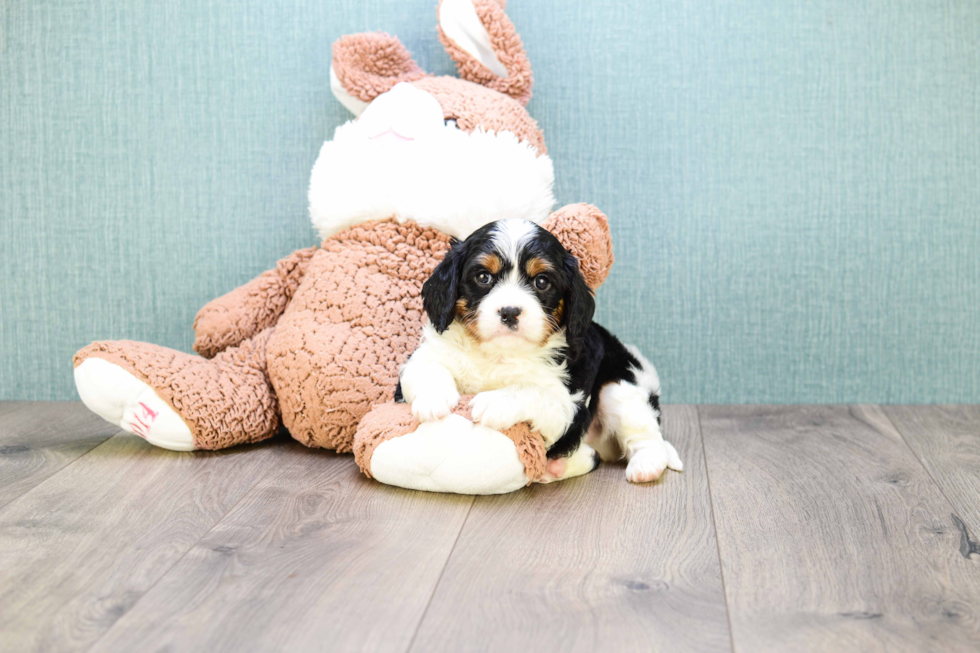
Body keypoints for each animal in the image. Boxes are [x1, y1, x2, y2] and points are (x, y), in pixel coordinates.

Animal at [396, 222, 680, 482]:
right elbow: (426, 367)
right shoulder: (427, 354)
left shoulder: (566, 406)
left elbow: (533, 392)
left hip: (621, 387)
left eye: (541, 281)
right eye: (483, 277)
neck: (497, 354)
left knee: (645, 436)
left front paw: (495, 401)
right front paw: (434, 398)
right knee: (593, 454)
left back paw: (646, 465)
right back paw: (555, 468)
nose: (510, 312)